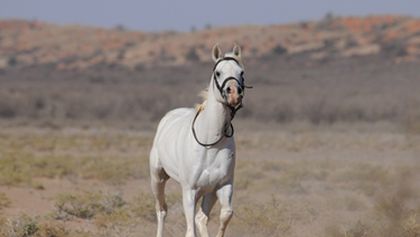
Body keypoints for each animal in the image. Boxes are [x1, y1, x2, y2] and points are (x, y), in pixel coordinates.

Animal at [149, 45, 248, 237]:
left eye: (241, 72)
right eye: (218, 72)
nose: (234, 94)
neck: (211, 144)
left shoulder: (222, 186)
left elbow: (226, 214)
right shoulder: (189, 191)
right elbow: (190, 231)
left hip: (208, 192)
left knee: (201, 218)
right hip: (158, 177)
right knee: (161, 210)